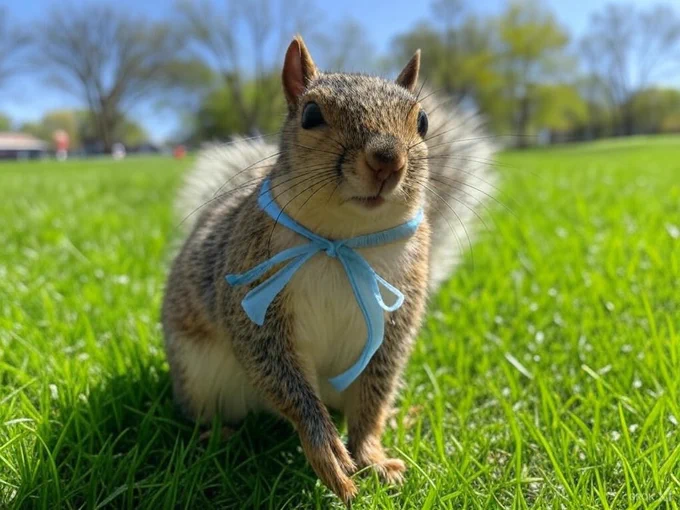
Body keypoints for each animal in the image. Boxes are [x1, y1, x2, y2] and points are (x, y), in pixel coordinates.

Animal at [162, 35, 495, 505]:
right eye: (311, 115)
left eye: (423, 121)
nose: (387, 159)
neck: (344, 239)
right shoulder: (252, 297)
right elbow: (280, 374)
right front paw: (326, 452)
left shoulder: (399, 309)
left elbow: (374, 393)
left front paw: (372, 456)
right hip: (197, 377)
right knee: (206, 413)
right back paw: (214, 439)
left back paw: (396, 416)